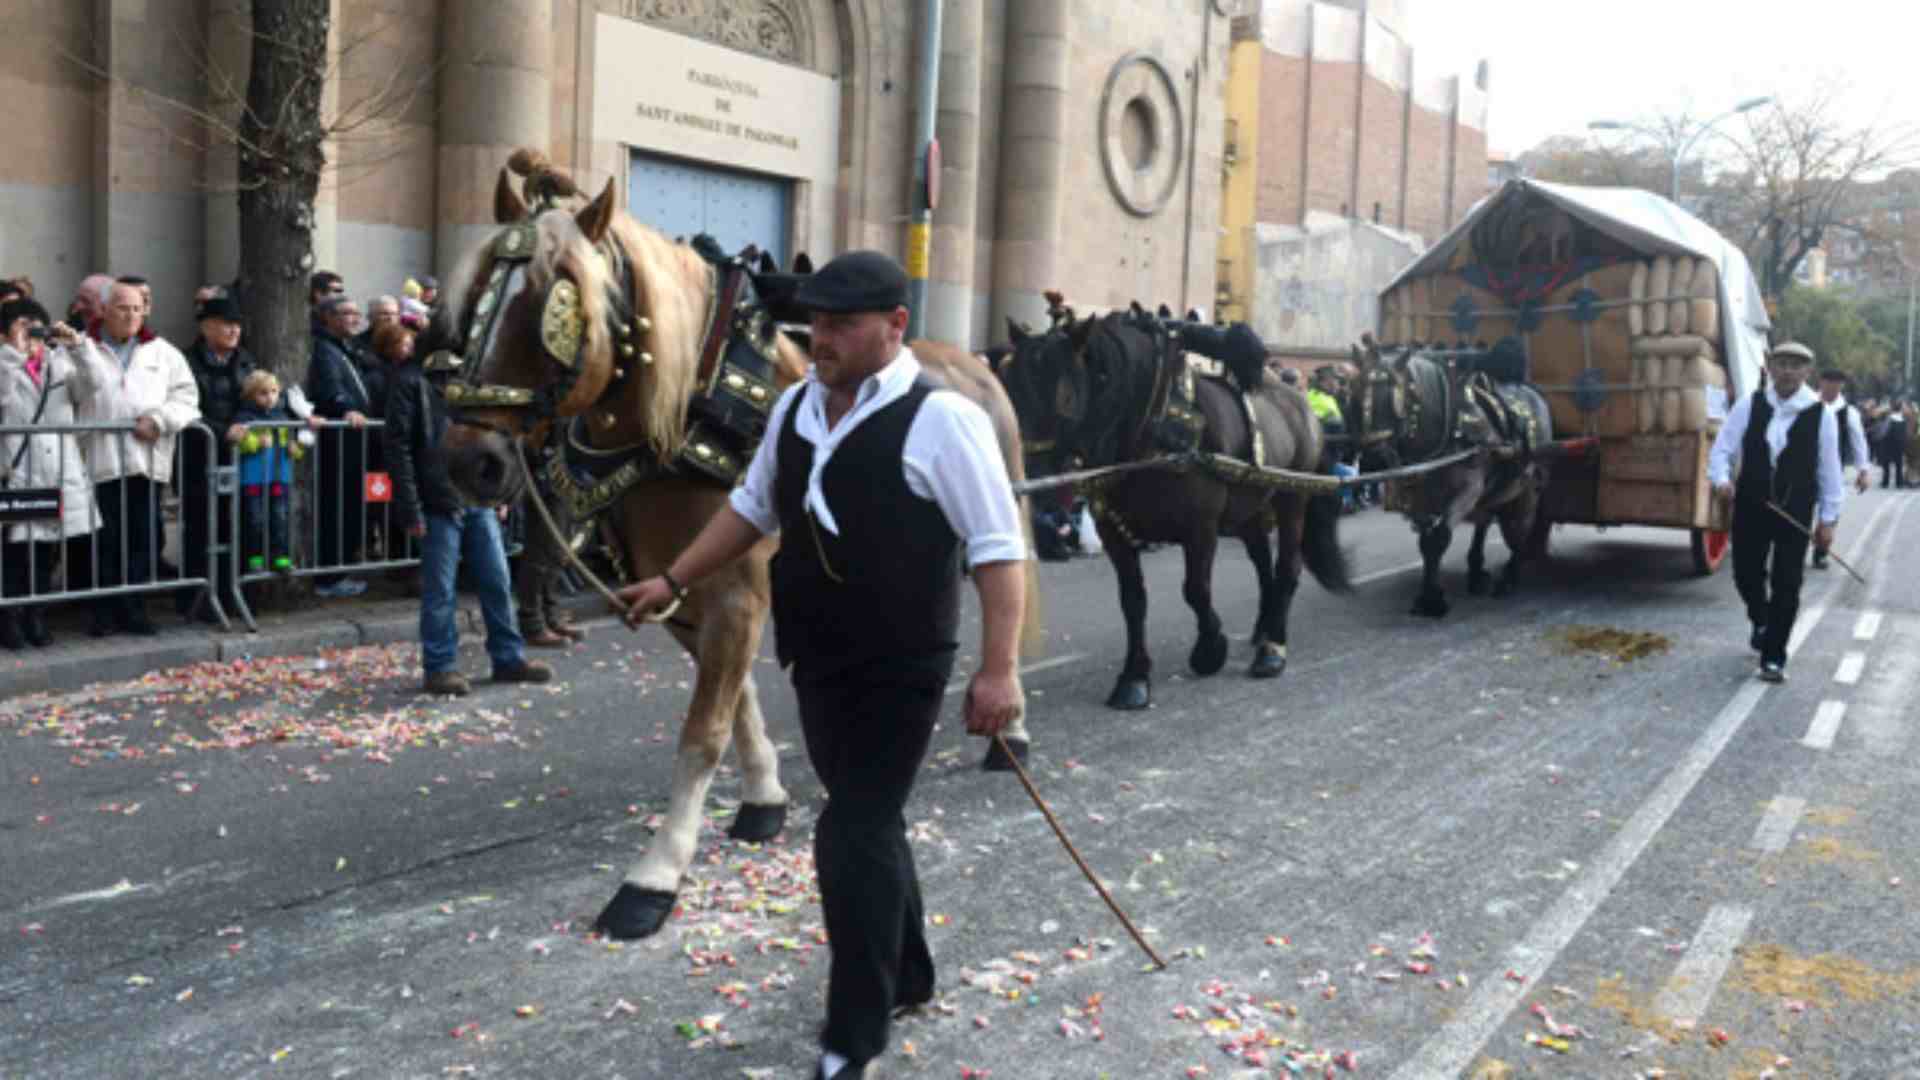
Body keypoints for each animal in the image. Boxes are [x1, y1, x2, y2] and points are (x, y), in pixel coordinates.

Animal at [998, 303, 1359, 707]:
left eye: (1065, 397)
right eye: (1009, 388)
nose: (1028, 478)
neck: (1152, 429)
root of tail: (1301, 405)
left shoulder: (1200, 527)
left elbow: (1196, 590)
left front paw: (1210, 649)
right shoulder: (1114, 532)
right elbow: (1133, 601)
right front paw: (1134, 677)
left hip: (1292, 498)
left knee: (1287, 568)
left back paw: (1273, 648)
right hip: (1248, 510)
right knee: (1262, 564)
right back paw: (1262, 630)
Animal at [1344, 336, 1551, 614]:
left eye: (1394, 399)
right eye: (1354, 394)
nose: (1373, 460)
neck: (1454, 427)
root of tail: (1531, 391)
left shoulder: (1468, 490)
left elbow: (1440, 538)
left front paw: (1432, 599)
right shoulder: (1419, 498)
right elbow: (1426, 543)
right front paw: (1429, 593)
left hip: (1528, 486)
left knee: (1520, 528)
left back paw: (1509, 575)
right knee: (1486, 520)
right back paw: (1476, 571)